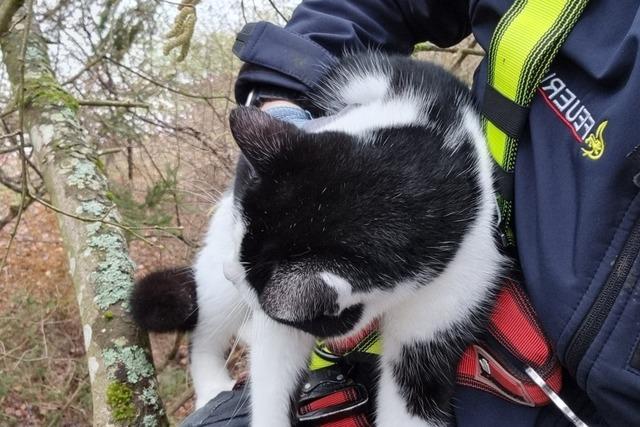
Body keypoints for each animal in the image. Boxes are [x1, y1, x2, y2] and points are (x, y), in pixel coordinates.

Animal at [132, 54, 508, 427]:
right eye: (239, 237)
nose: (230, 270)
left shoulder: (453, 291)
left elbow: (413, 394)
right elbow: (273, 373)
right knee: (206, 330)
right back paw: (212, 384)